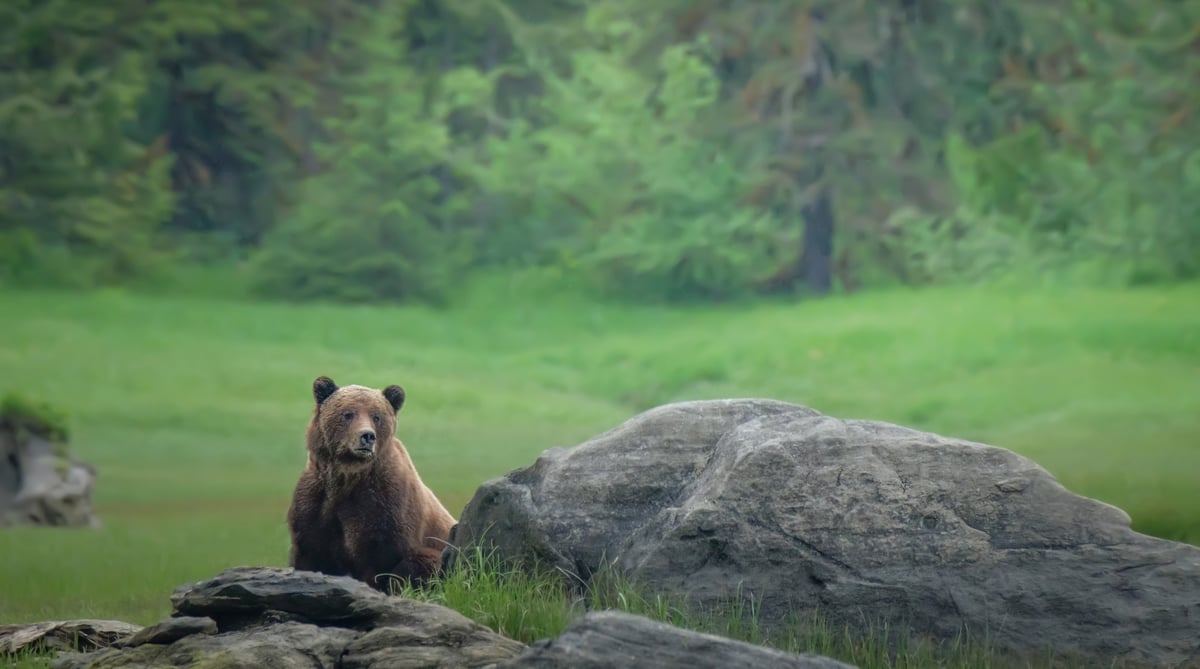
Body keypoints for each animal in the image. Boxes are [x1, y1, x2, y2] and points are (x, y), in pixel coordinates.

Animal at [288, 378, 456, 592]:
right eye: (348, 414)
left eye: (377, 417)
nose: (367, 436)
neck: (347, 478)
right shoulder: (315, 501)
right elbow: (309, 551)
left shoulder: (384, 505)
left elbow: (381, 557)